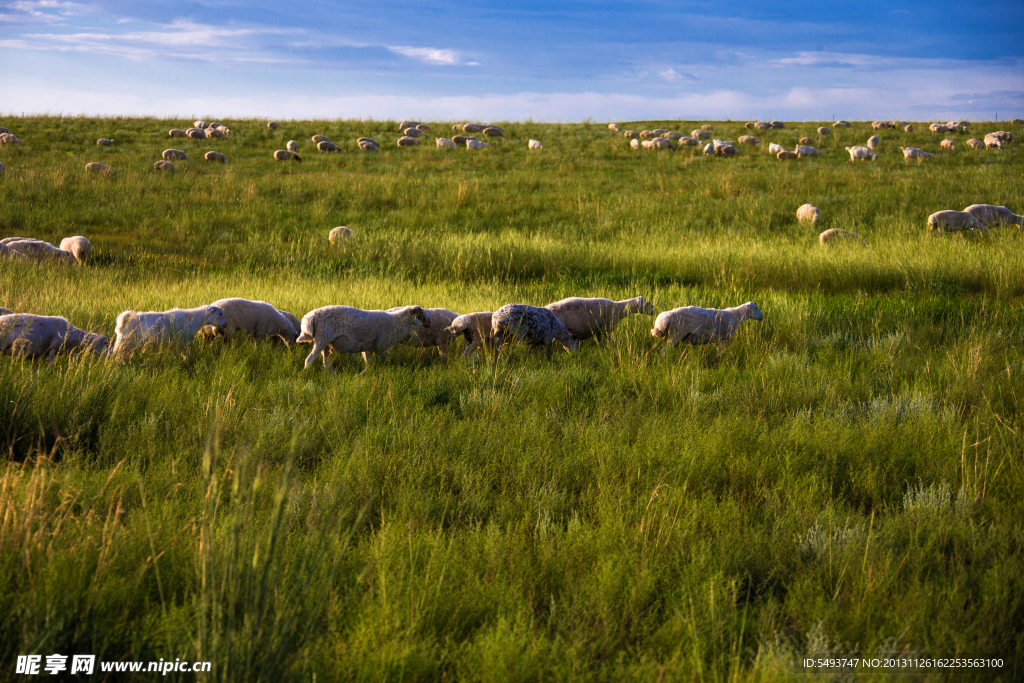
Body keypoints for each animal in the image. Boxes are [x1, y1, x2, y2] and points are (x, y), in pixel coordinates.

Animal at [296, 305, 428, 368]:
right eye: (420, 314)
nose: (429, 324)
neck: (396, 322)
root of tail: (309, 317)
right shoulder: (381, 346)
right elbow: (384, 363)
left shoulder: (368, 348)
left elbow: (369, 366)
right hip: (322, 338)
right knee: (309, 360)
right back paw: (306, 373)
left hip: (326, 344)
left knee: (326, 364)